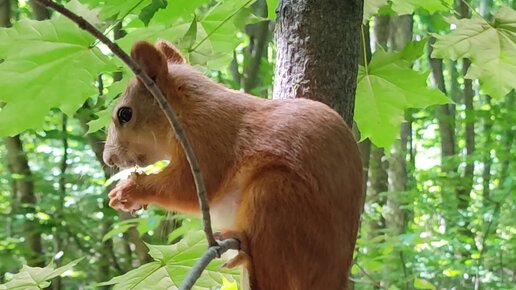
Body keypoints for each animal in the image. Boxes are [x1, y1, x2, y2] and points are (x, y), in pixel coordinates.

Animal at [104, 39, 362, 288]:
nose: (108, 159)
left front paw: (130, 190)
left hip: (274, 196)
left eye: (125, 114)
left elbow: (187, 188)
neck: (189, 106)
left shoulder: (207, 140)